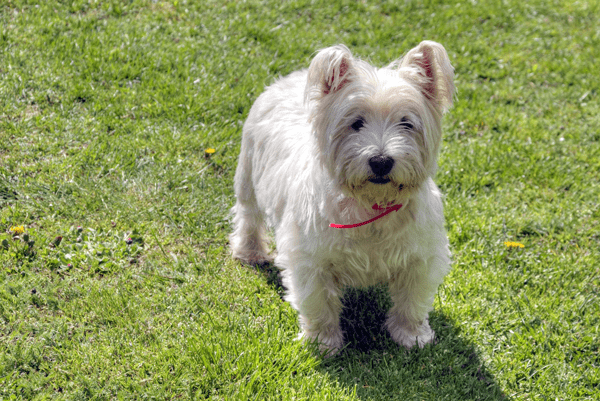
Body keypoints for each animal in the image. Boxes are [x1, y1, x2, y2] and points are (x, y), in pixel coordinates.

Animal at [230, 40, 454, 354]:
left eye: (406, 123)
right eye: (356, 123)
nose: (381, 161)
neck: (371, 205)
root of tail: (290, 77)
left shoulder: (421, 257)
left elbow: (412, 302)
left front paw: (412, 336)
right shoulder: (310, 260)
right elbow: (319, 304)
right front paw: (323, 343)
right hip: (248, 175)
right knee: (248, 216)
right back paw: (250, 252)